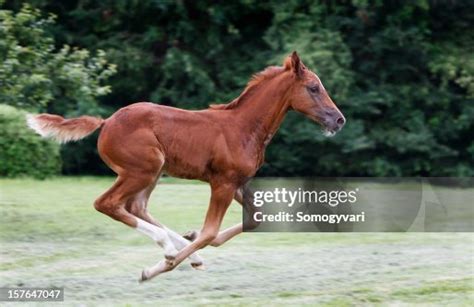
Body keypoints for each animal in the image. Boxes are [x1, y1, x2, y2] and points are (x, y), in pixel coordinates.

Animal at [26, 51, 344, 282]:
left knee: (136, 207)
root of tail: (105, 122)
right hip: (143, 169)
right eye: (314, 88)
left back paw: (184, 250)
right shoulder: (222, 183)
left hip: (153, 173)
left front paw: (190, 242)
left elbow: (253, 220)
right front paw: (154, 269)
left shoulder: (238, 183)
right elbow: (209, 232)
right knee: (107, 203)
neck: (244, 127)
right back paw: (169, 250)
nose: (338, 120)